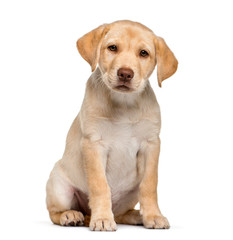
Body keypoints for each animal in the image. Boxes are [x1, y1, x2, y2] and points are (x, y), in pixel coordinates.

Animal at [46, 20, 178, 231]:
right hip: (59, 184)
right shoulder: (93, 144)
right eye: (112, 48)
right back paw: (72, 215)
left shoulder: (151, 145)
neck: (124, 104)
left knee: (121, 213)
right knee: (54, 212)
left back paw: (136, 215)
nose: (125, 73)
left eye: (144, 53)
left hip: (130, 195)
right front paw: (101, 219)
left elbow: (150, 185)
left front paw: (153, 215)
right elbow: (100, 186)